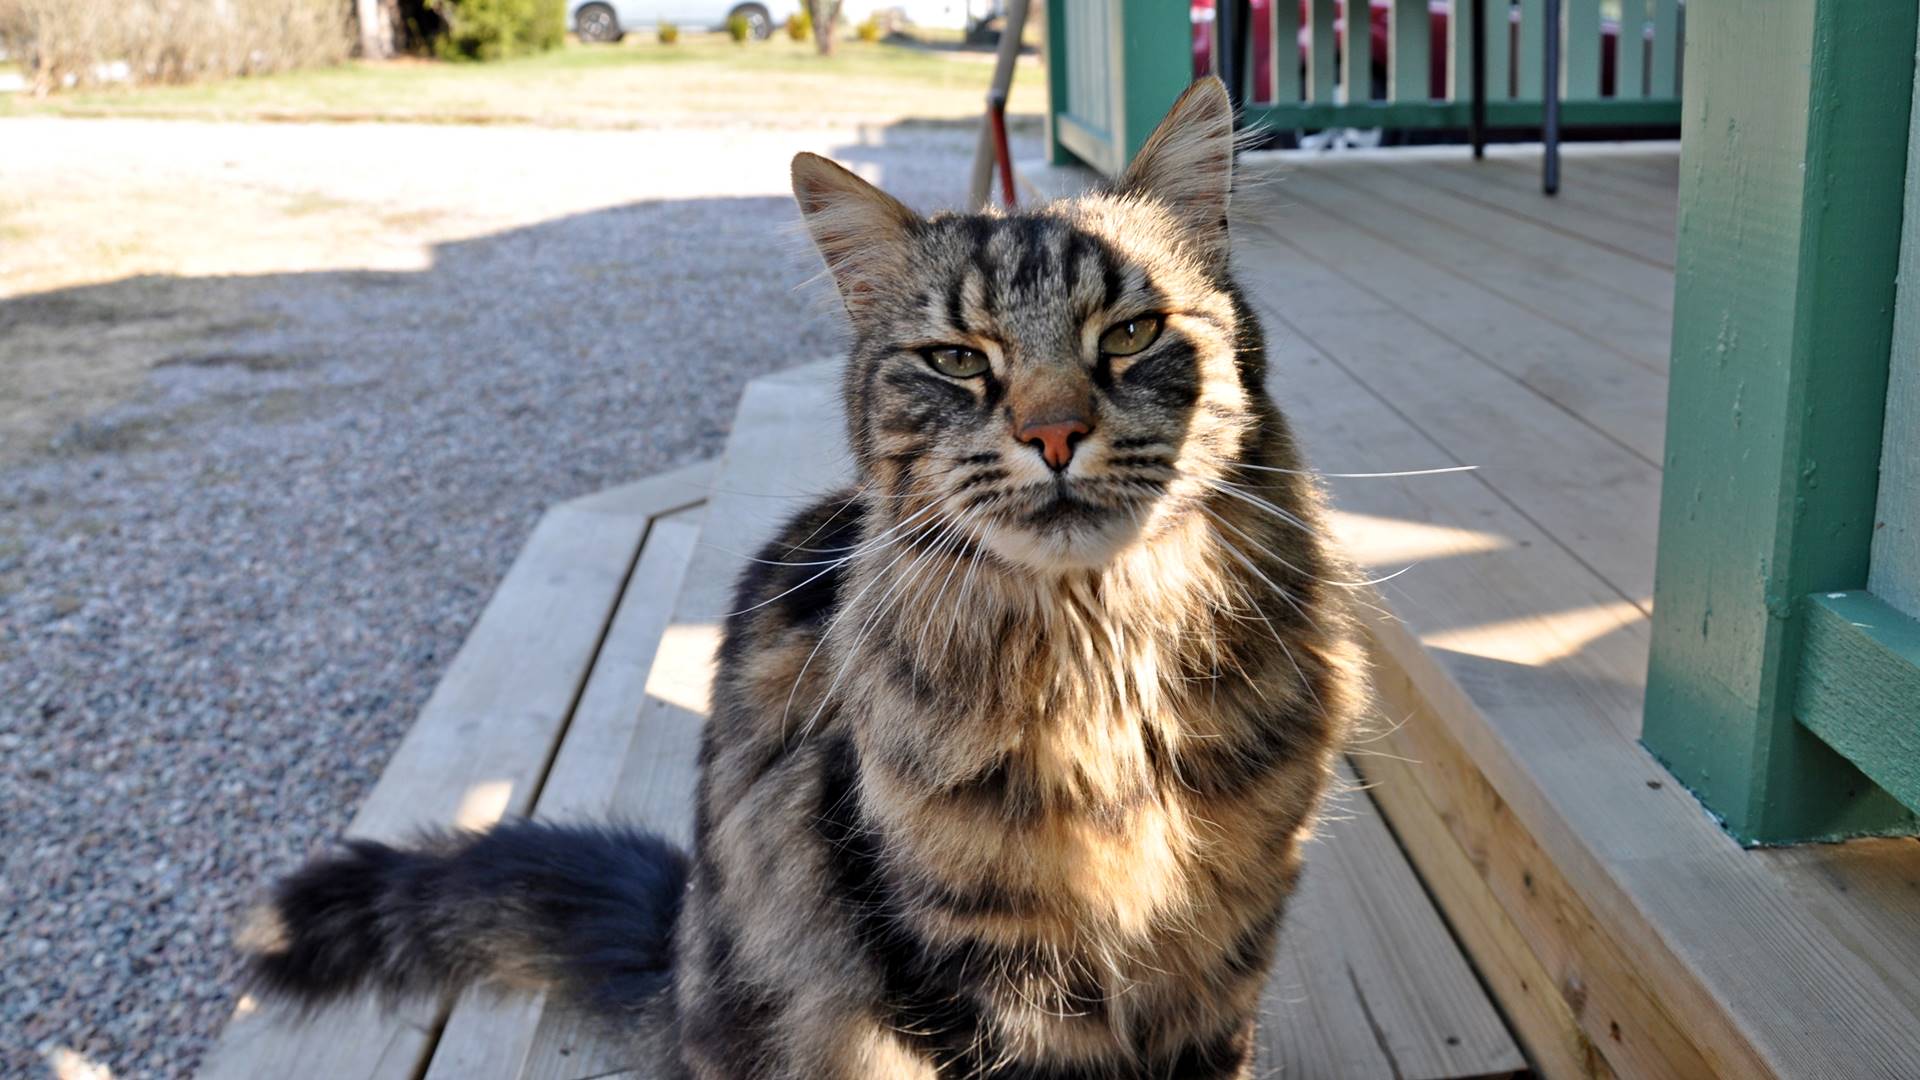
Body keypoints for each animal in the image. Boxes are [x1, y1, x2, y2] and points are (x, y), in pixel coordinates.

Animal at [243, 77, 1367, 1076]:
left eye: (1131, 334)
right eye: (959, 359)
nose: (1053, 433)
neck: (1104, 671)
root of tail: (677, 948)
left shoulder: (1224, 955)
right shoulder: (959, 969)